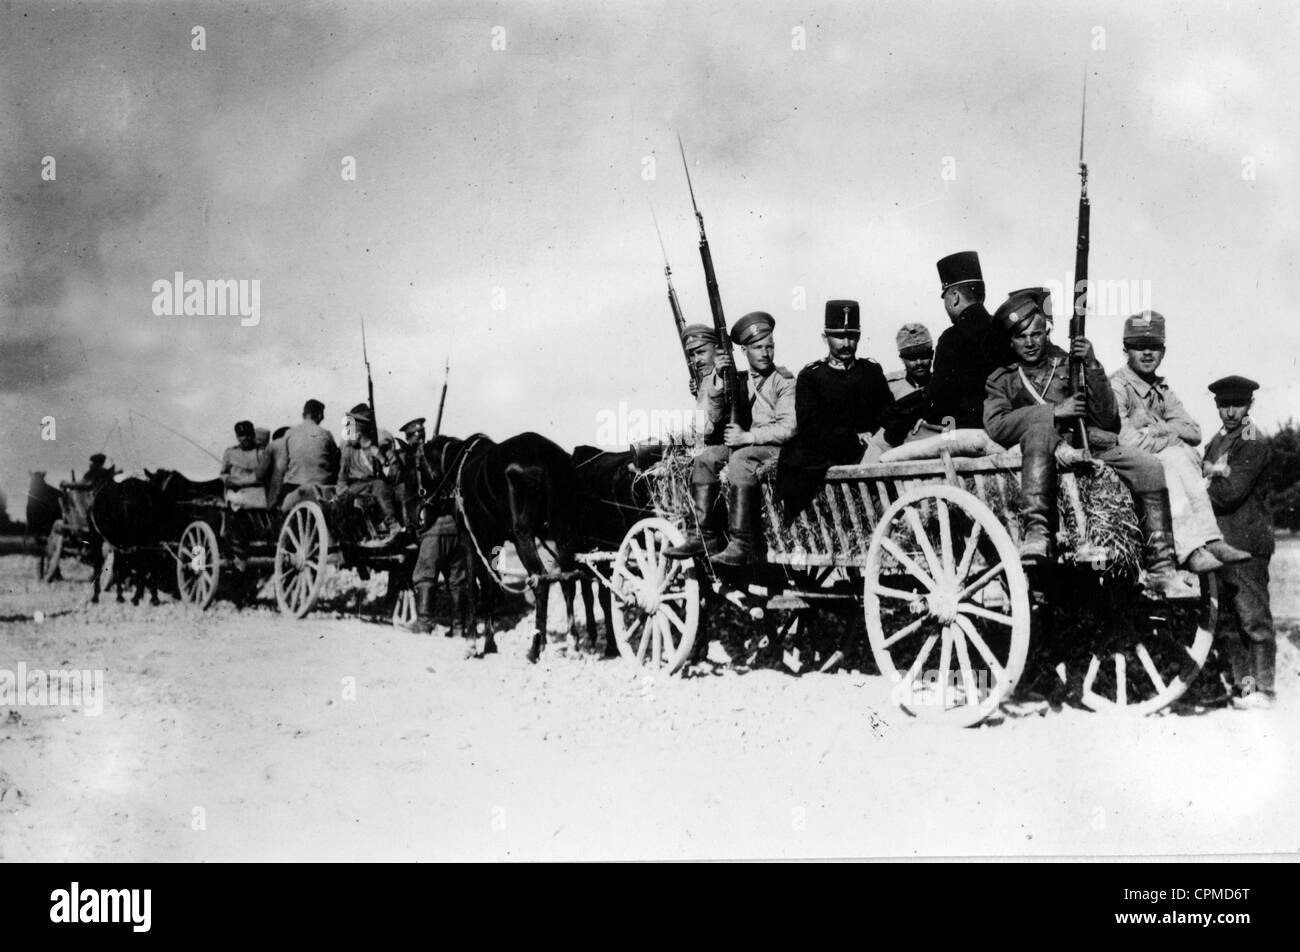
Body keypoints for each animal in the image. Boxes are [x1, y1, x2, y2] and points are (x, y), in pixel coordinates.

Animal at [423, 434, 582, 660]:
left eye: (417, 465)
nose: (421, 512)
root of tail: (547, 458)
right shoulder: (492, 542)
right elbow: (489, 584)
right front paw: (490, 642)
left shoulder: (469, 540)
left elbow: (472, 587)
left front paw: (472, 643)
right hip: (563, 533)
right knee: (567, 581)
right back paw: (572, 642)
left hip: (522, 535)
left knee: (541, 580)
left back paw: (536, 647)